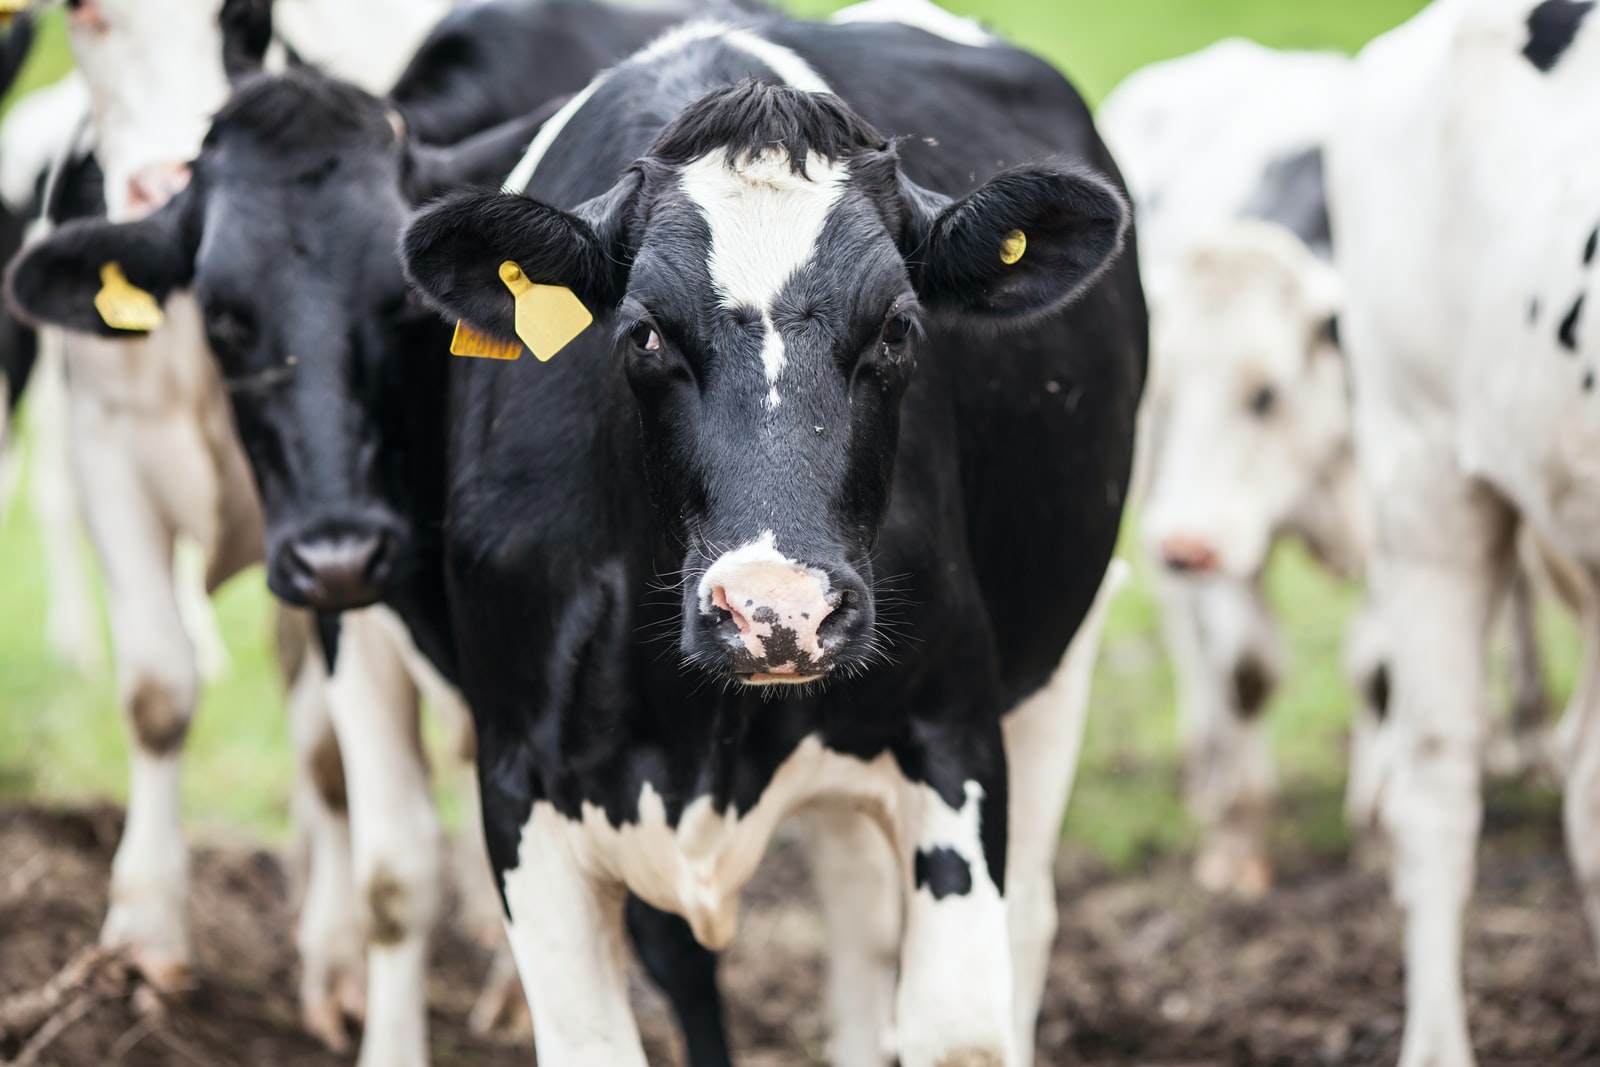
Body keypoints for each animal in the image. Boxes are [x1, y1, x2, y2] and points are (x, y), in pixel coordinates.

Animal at [393, 10, 1145, 1067]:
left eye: (900, 325)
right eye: (644, 332)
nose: (776, 613)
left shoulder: (954, 733)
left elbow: (959, 1024)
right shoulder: (517, 777)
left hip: (1060, 651)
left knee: (1015, 918)